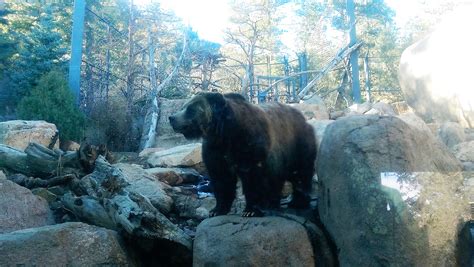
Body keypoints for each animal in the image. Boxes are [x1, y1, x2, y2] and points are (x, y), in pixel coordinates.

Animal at [168, 92, 316, 218]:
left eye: (190, 109)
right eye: (183, 106)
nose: (172, 117)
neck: (224, 132)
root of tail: (302, 116)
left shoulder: (249, 144)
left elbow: (253, 177)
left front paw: (251, 210)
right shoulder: (215, 149)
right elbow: (221, 178)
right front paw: (217, 210)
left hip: (297, 144)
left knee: (300, 173)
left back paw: (298, 202)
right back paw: (273, 202)